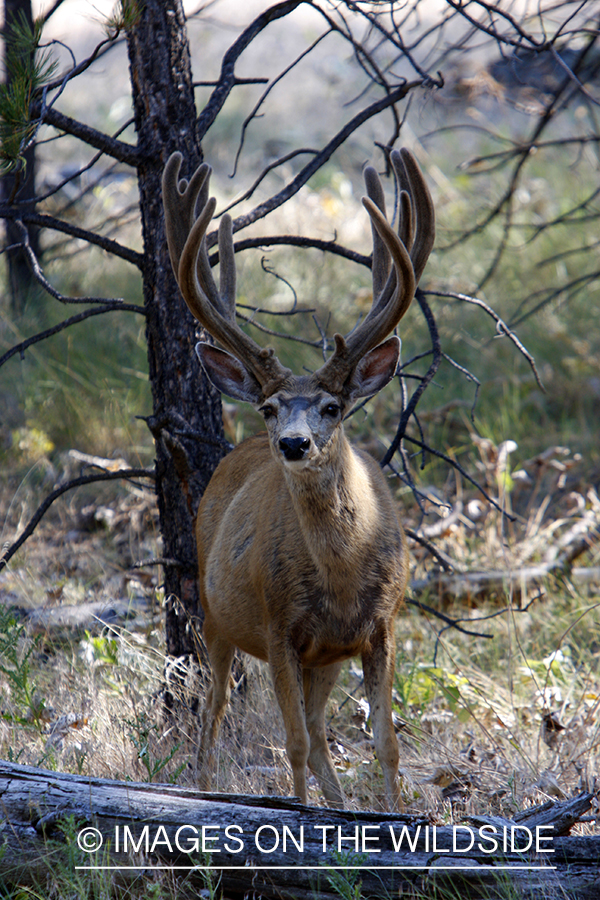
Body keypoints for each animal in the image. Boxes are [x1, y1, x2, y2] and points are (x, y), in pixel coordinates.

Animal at [161, 147, 434, 810]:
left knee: (312, 720)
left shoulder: (382, 624)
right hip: (215, 615)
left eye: (332, 407)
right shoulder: (279, 623)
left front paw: (395, 817)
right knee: (215, 713)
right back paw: (204, 792)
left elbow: (385, 743)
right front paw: (302, 821)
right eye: (269, 407)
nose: (292, 442)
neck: (341, 578)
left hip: (325, 656)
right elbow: (293, 747)